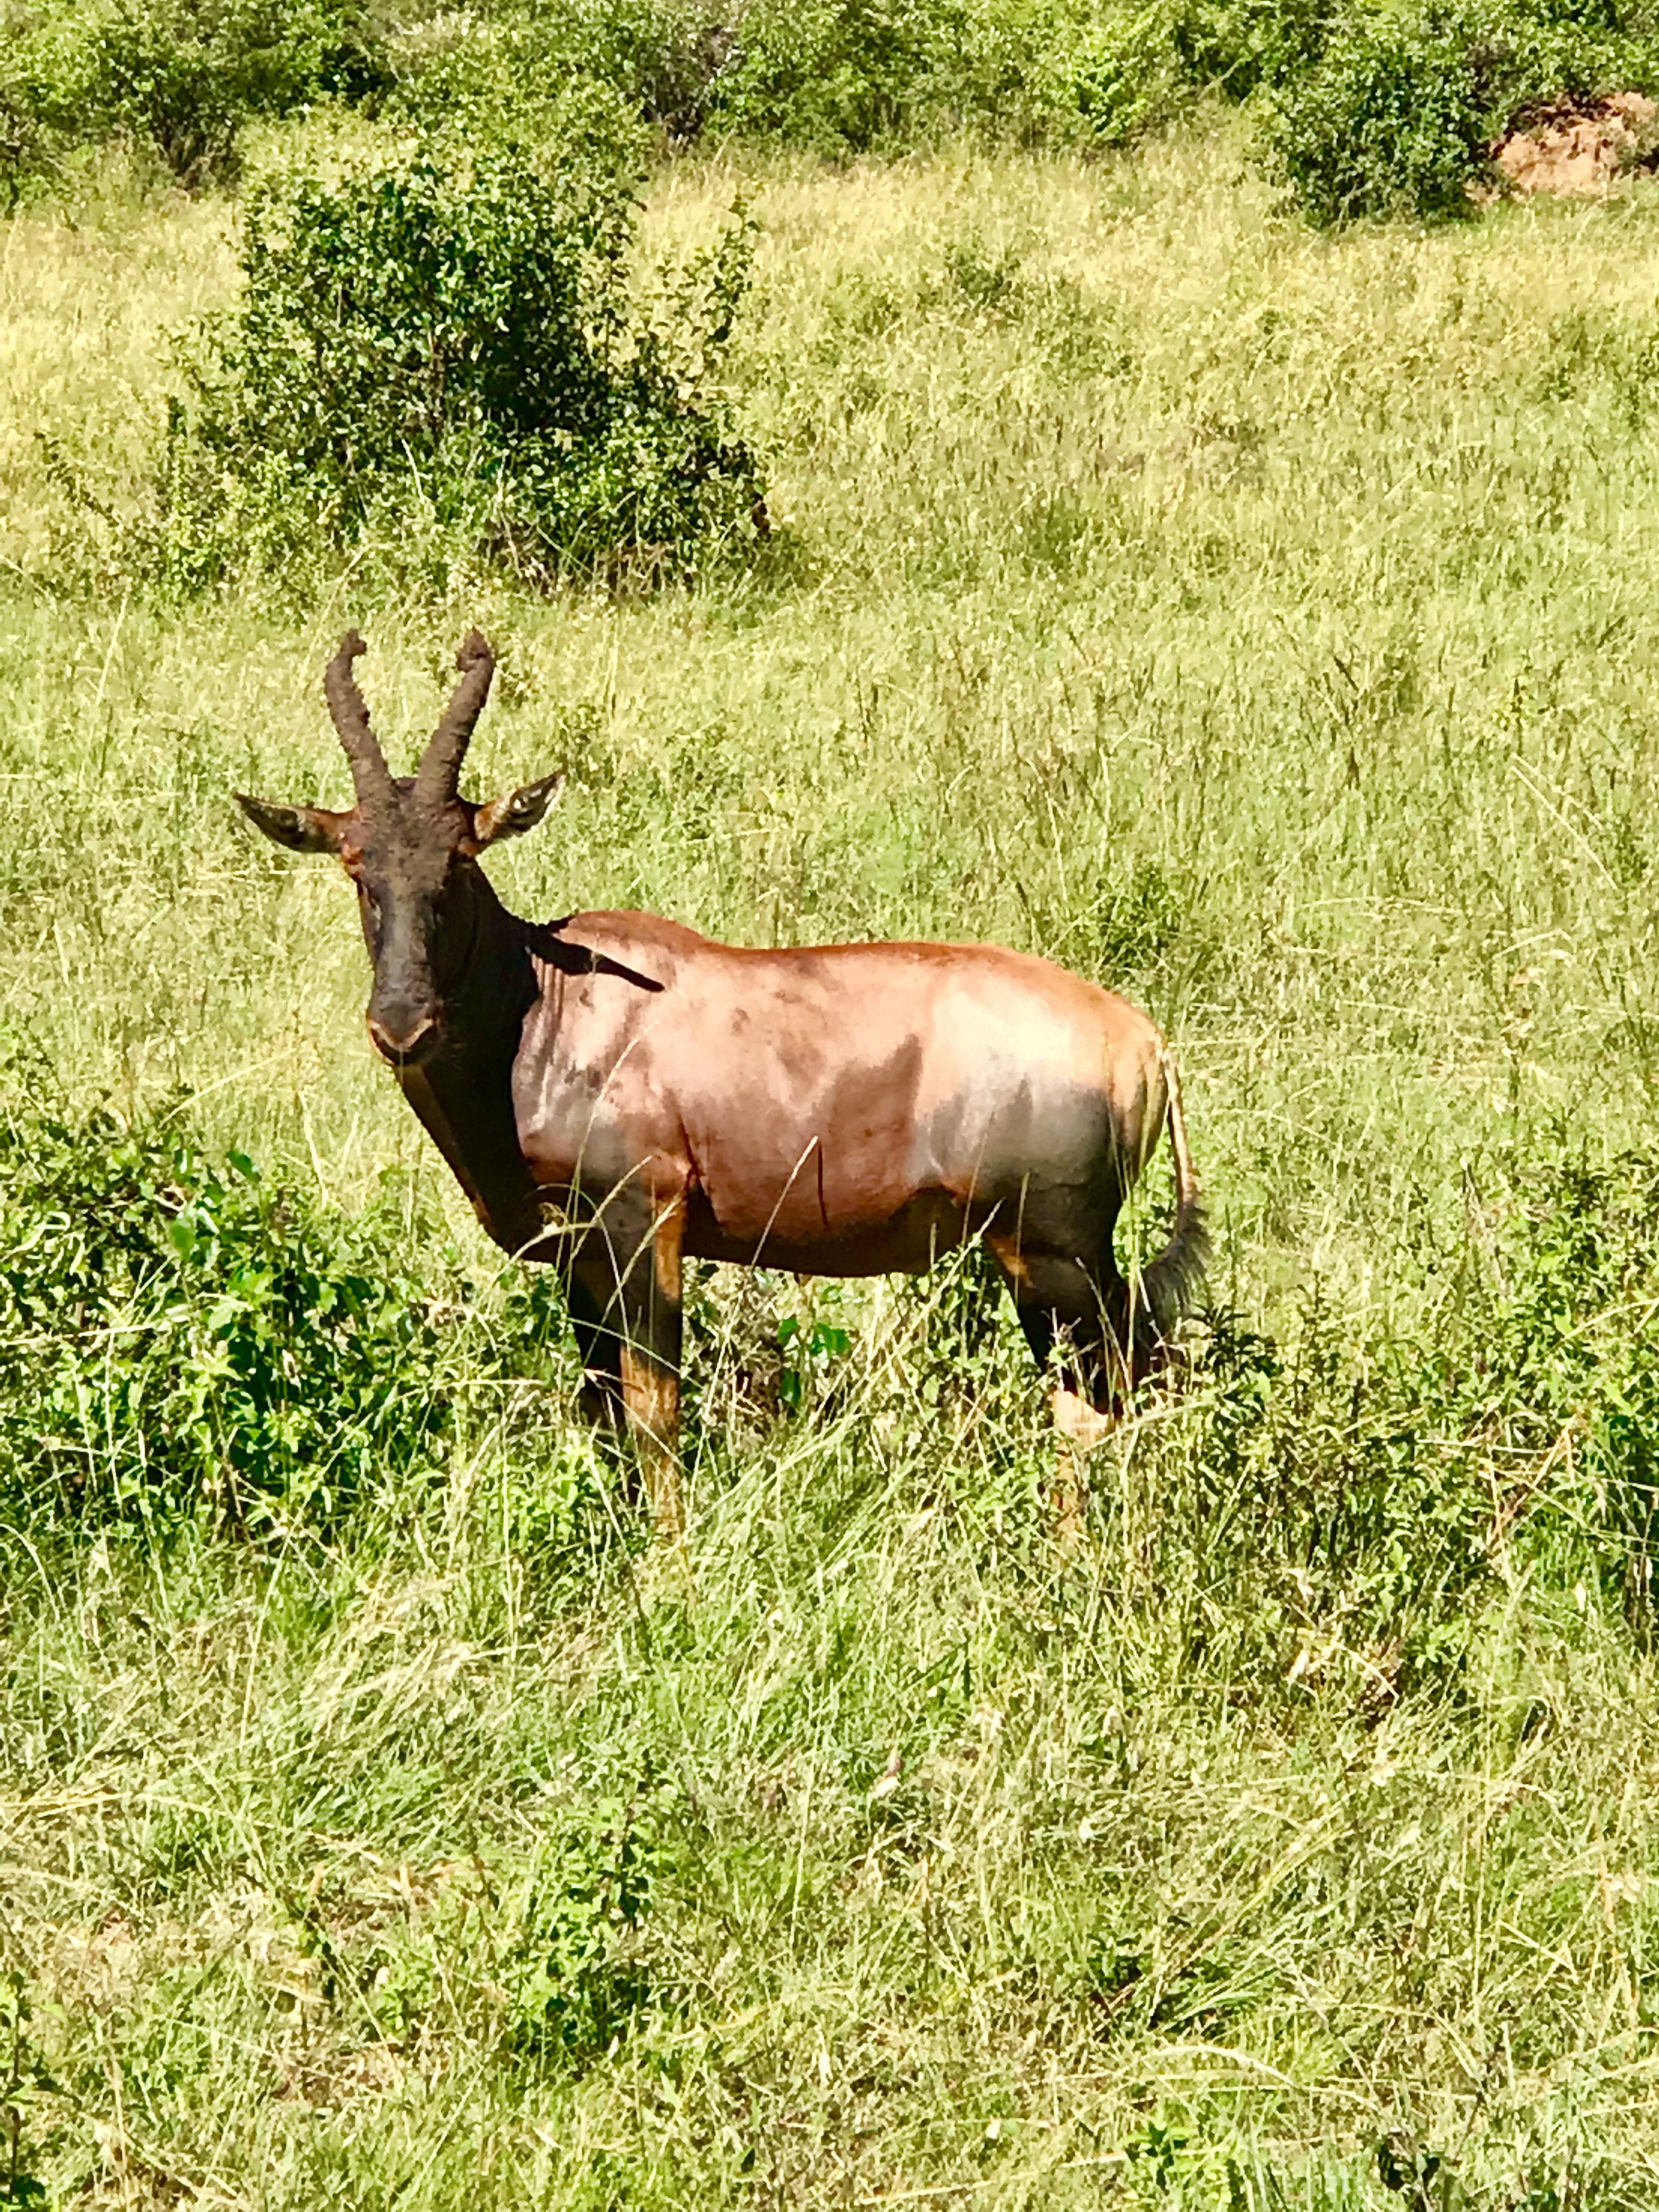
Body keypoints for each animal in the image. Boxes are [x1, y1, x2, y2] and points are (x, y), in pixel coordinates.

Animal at [236, 632, 1212, 1539]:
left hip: (1051, 1256)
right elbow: (601, 1407)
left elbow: (654, 1408)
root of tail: (1142, 1042)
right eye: (357, 864)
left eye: (460, 860)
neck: (548, 995)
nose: (402, 1026)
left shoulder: (645, 1222)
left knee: (1097, 1401)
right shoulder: (579, 1257)